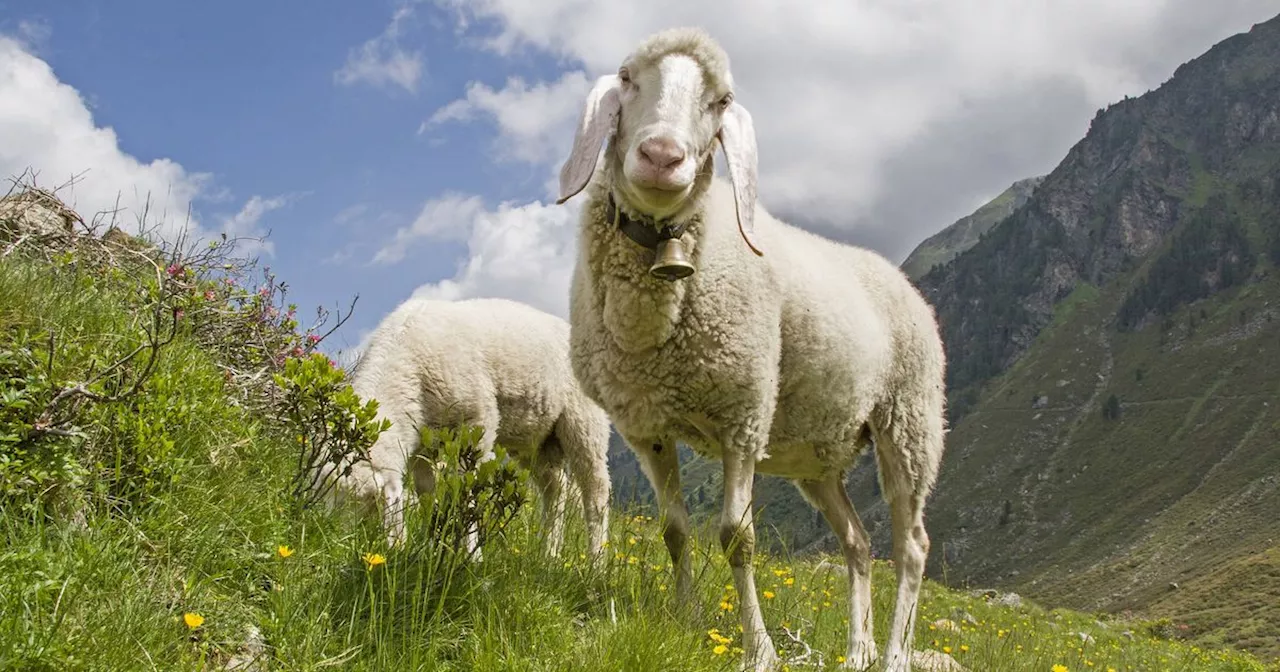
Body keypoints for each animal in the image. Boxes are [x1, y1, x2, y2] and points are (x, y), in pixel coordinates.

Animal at [325, 295, 614, 563]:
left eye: (363, 506)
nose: (332, 542)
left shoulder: (478, 422)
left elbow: (467, 490)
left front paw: (470, 555)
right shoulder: (422, 444)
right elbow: (427, 494)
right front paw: (430, 546)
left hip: (584, 420)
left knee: (596, 490)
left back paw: (596, 561)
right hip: (534, 437)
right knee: (555, 487)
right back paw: (549, 554)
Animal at [555, 27, 947, 670]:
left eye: (722, 100)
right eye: (628, 77)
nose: (661, 157)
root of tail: (901, 279)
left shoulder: (742, 414)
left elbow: (737, 537)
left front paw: (757, 648)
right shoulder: (646, 425)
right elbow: (674, 530)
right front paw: (687, 618)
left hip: (909, 422)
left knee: (911, 545)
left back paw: (893, 654)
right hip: (818, 453)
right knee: (858, 542)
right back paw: (857, 650)